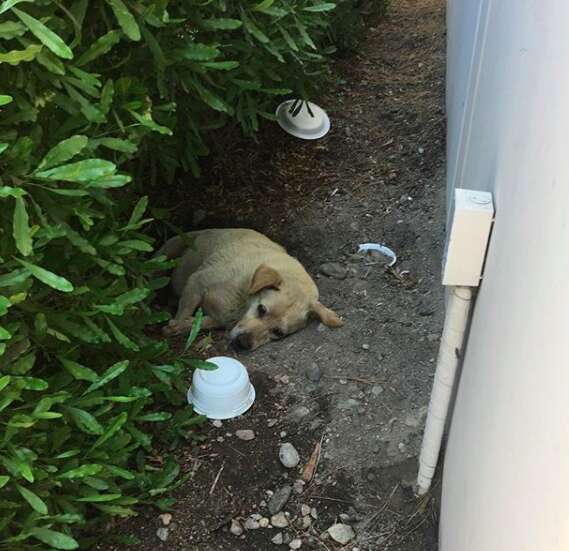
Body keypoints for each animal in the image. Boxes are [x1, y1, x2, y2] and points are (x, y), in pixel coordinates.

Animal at [158, 227, 342, 350]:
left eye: (278, 333)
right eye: (261, 309)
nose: (242, 343)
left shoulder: (217, 319)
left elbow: (197, 323)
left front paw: (179, 327)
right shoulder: (196, 283)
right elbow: (184, 313)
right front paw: (174, 326)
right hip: (171, 247)